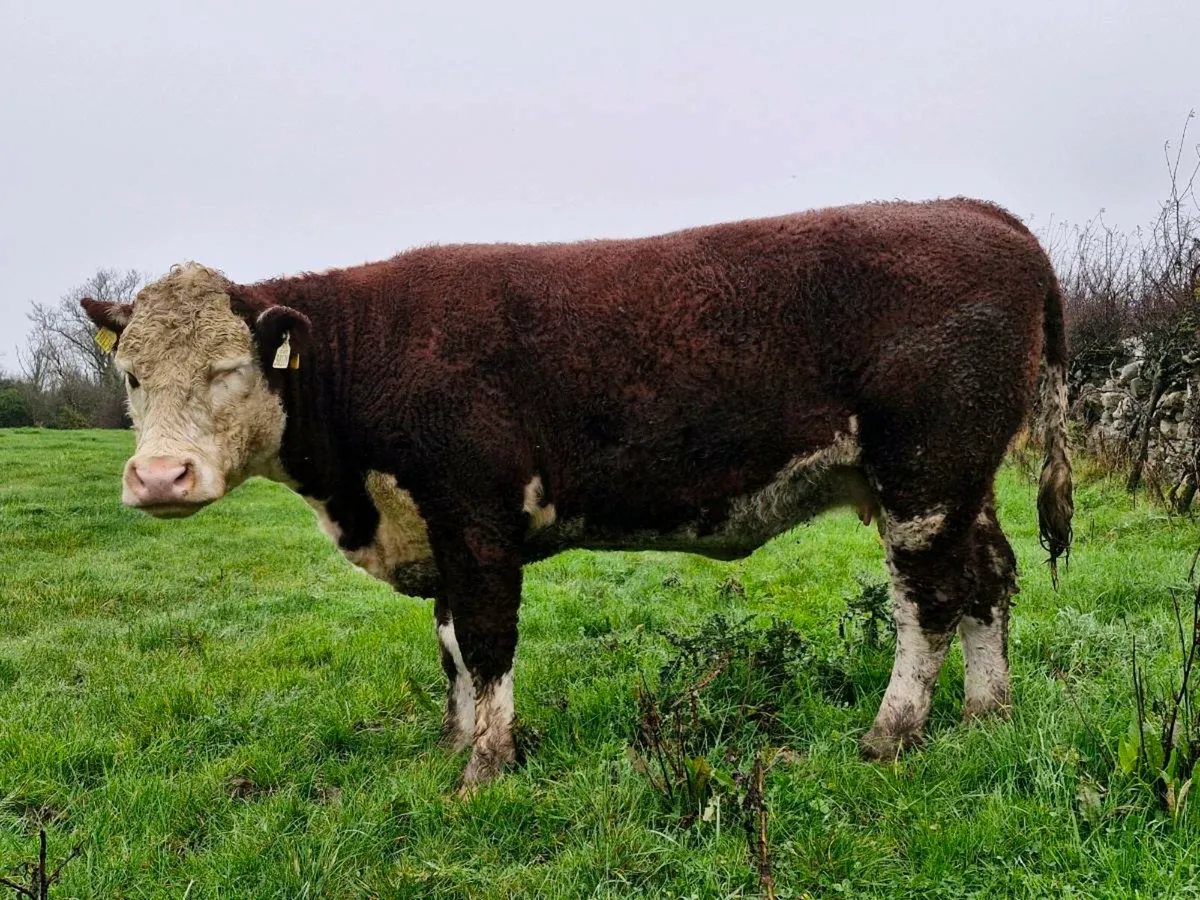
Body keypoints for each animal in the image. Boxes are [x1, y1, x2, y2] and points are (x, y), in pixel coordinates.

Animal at [82, 198, 1073, 788]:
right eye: (130, 374)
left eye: (228, 369)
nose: (160, 477)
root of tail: (978, 212)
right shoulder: (438, 528)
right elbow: (450, 642)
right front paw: (455, 741)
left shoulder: (475, 517)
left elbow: (485, 641)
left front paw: (486, 767)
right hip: (963, 481)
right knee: (989, 578)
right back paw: (987, 715)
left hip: (926, 472)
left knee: (930, 600)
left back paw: (891, 733)